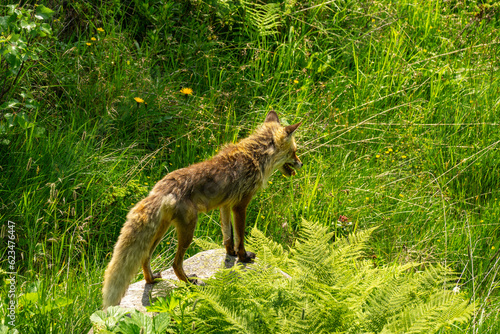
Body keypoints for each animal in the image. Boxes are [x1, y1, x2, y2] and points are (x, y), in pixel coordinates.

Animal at [102, 111, 300, 310]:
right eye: (294, 151)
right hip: (188, 230)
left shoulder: (225, 205)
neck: (254, 155)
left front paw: (230, 253)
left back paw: (152, 279)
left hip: (162, 231)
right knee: (175, 264)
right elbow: (240, 238)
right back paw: (190, 282)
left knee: (145, 257)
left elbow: (227, 236)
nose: (301, 163)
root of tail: (160, 189)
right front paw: (243, 257)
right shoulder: (240, 205)